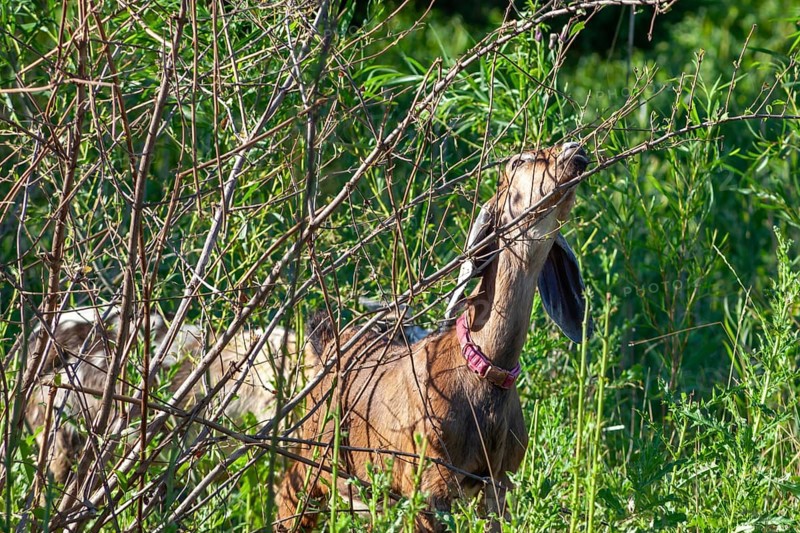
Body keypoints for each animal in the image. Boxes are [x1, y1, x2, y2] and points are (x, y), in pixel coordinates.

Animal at [275, 142, 592, 531]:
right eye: (519, 161)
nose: (575, 149)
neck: (484, 368)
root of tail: (325, 342)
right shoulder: (428, 483)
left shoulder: (499, 481)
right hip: (314, 459)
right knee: (286, 498)